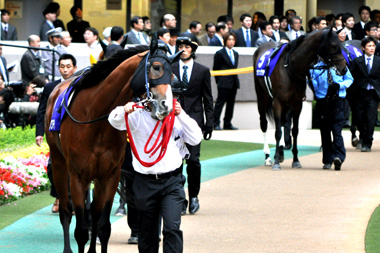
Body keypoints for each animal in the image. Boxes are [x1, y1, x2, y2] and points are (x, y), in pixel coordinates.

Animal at [44, 38, 181, 252]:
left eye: (173, 74)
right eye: (157, 67)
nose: (166, 106)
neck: (96, 119)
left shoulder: (110, 175)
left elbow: (102, 226)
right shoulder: (77, 175)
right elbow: (81, 230)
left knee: (94, 212)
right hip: (59, 163)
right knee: (66, 210)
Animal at [252, 28, 348, 170]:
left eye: (341, 45)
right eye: (333, 45)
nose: (343, 69)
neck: (290, 68)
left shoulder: (296, 104)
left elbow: (294, 131)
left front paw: (295, 160)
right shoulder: (277, 103)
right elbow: (277, 132)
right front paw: (276, 162)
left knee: (282, 123)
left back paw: (280, 152)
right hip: (262, 97)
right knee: (264, 124)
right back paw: (268, 157)